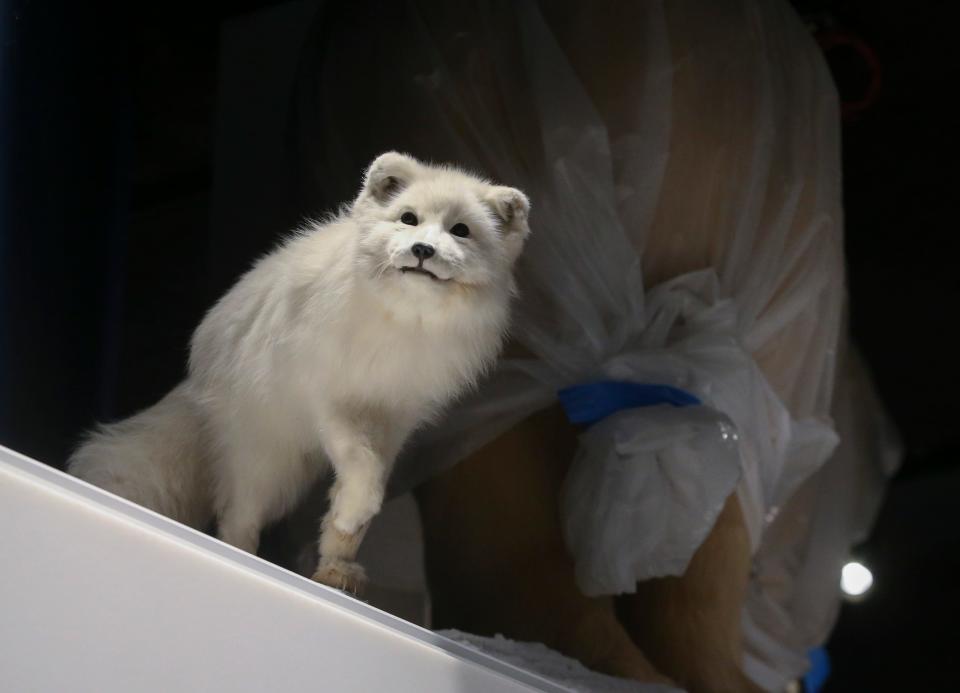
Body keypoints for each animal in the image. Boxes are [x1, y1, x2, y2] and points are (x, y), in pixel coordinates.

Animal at [68, 151, 532, 588]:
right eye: (408, 219)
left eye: (460, 231)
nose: (422, 250)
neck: (401, 323)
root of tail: (198, 384)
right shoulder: (327, 399)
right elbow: (361, 468)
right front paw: (353, 514)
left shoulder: (395, 420)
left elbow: (366, 486)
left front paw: (340, 545)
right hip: (265, 462)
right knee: (237, 517)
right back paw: (244, 559)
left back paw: (334, 573)